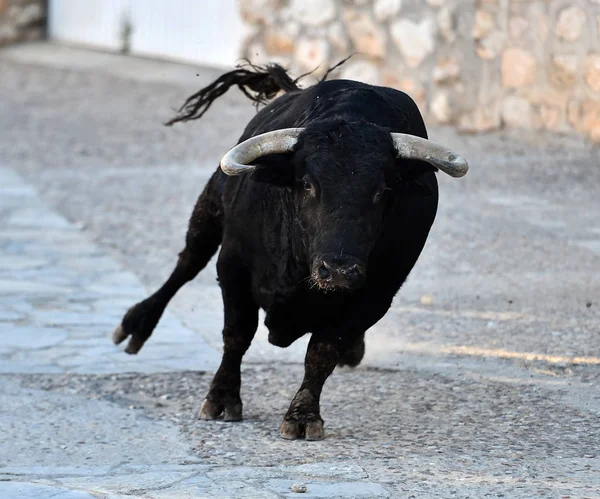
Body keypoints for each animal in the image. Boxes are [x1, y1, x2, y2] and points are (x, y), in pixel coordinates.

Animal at [112, 63, 468, 442]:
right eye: (308, 184)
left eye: (381, 191)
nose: (338, 270)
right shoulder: (233, 266)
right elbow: (236, 334)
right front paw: (221, 400)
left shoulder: (375, 294)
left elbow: (323, 351)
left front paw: (302, 415)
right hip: (210, 207)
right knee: (187, 263)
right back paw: (136, 326)